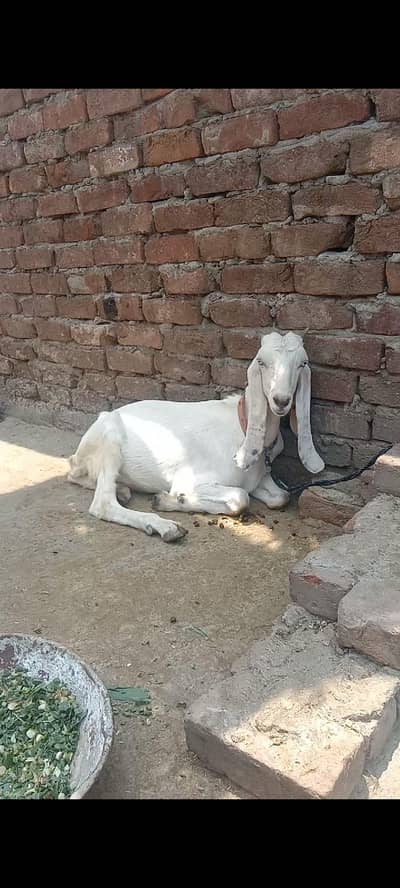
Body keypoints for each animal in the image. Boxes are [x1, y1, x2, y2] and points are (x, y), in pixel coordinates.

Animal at [68, 331, 324, 542]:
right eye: (262, 362)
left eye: (302, 364)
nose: (281, 401)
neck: (241, 428)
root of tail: (77, 455)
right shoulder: (193, 479)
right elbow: (240, 498)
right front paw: (172, 499)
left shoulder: (259, 480)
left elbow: (281, 497)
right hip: (110, 441)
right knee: (102, 504)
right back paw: (166, 528)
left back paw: (122, 490)